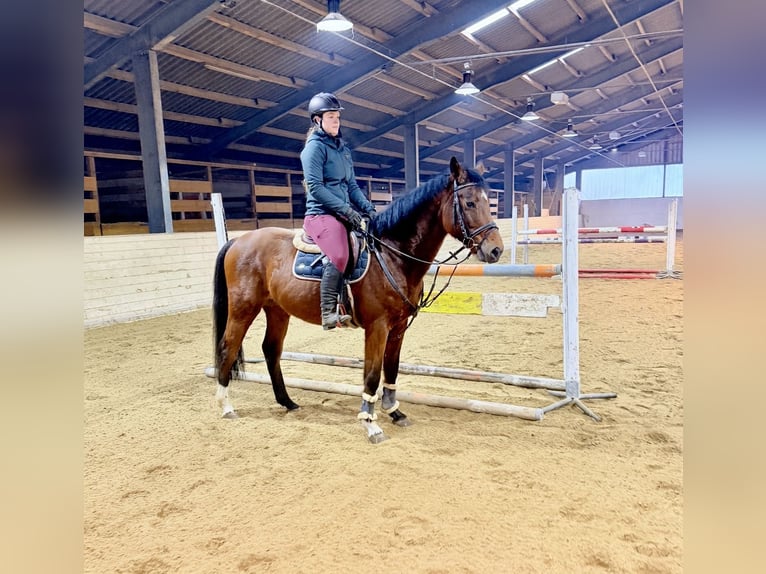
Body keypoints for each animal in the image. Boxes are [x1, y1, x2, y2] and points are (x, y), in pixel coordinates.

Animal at [212, 156, 504, 443]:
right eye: (469, 203)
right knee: (227, 347)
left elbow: (391, 368)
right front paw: (370, 424)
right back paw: (226, 406)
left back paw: (287, 402)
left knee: (271, 350)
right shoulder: (377, 327)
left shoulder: (398, 327)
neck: (392, 254)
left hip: (277, 310)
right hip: (243, 309)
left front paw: (394, 411)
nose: (496, 250)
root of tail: (238, 241)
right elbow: (372, 374)